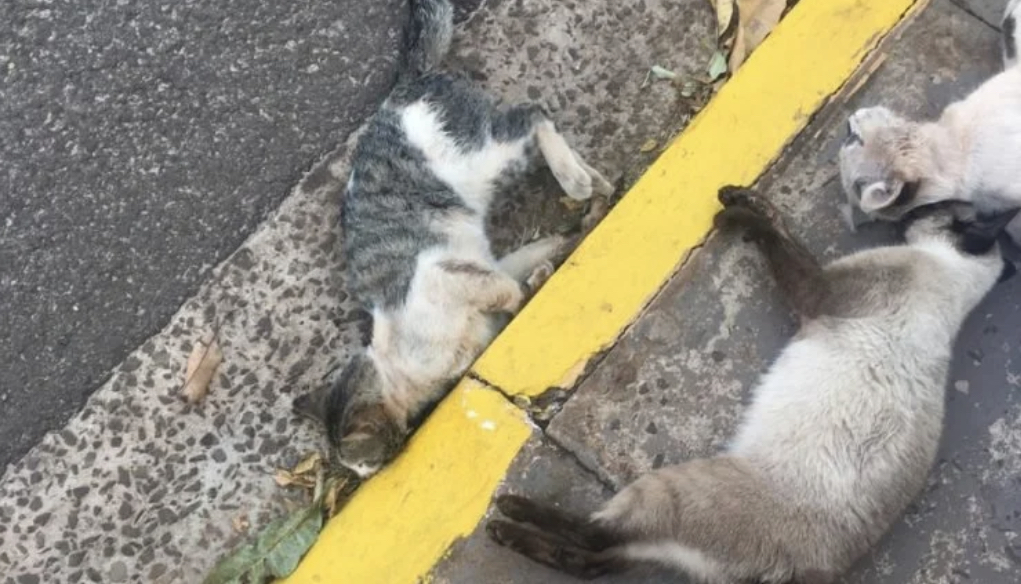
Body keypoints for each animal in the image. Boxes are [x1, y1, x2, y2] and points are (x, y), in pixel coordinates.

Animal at [292, 0, 614, 478]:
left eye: (365, 462)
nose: (371, 474)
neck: (402, 368)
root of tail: (400, 90)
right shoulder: (483, 266)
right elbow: (530, 259)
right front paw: (553, 258)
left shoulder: (445, 277)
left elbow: (506, 293)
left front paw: (527, 292)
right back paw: (594, 181)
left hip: (482, 161)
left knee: (534, 113)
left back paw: (573, 178)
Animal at [486, 186, 1017, 584]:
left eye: (934, 207)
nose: (908, 209)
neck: (954, 277)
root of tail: (801, 572)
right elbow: (777, 221)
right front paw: (737, 196)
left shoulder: (817, 291)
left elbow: (772, 237)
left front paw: (732, 215)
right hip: (664, 540)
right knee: (595, 563)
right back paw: (512, 533)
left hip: (669, 489)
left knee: (597, 538)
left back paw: (506, 515)